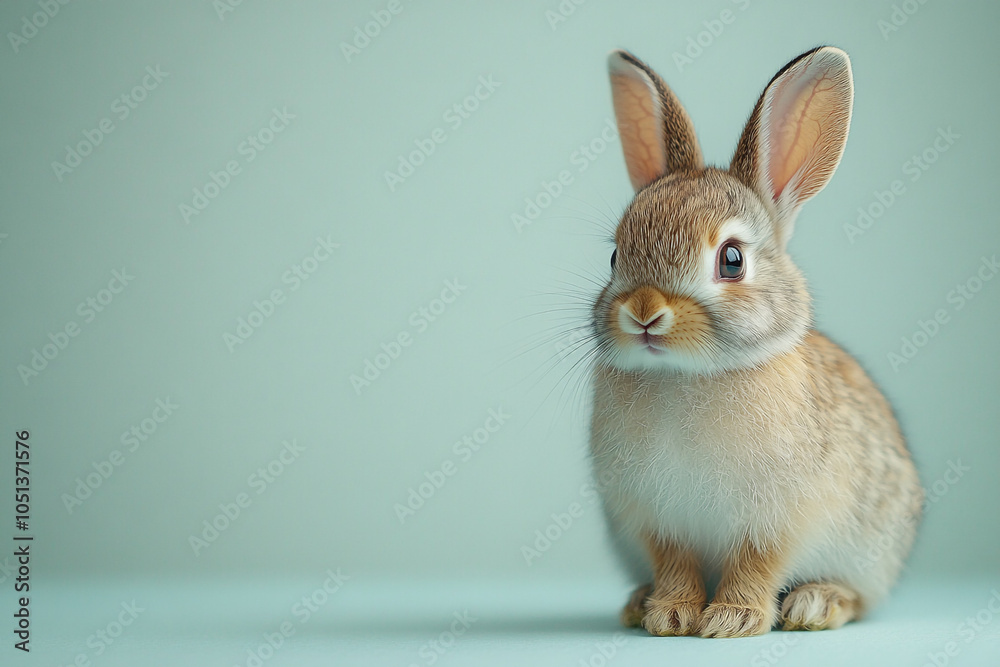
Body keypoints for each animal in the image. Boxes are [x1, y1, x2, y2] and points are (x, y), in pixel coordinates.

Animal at [587, 46, 923, 638]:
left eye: (732, 259)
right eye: (614, 256)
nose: (644, 313)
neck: (683, 377)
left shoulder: (776, 516)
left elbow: (756, 562)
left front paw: (731, 620)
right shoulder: (657, 520)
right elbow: (674, 563)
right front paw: (670, 615)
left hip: (874, 550)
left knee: (860, 598)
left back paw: (816, 604)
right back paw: (637, 602)